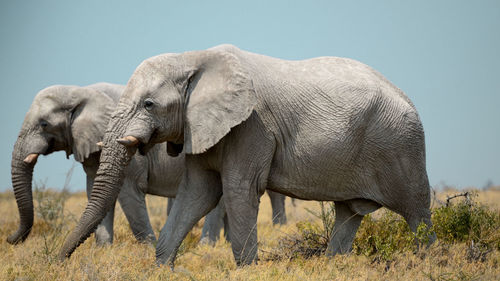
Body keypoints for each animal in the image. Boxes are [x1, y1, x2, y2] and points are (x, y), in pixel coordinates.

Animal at [8, 83, 290, 245]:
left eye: (44, 124)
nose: (11, 240)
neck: (81, 90)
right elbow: (96, 193)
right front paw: (103, 249)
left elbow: (127, 194)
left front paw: (148, 250)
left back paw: (207, 246)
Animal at [57, 43, 434, 264]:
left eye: (149, 104)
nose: (59, 261)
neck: (193, 59)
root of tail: (409, 99)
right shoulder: (203, 126)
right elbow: (197, 194)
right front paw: (162, 266)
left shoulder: (252, 125)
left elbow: (239, 191)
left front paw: (246, 269)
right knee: (348, 214)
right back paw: (334, 266)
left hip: (401, 146)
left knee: (416, 210)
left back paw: (427, 261)